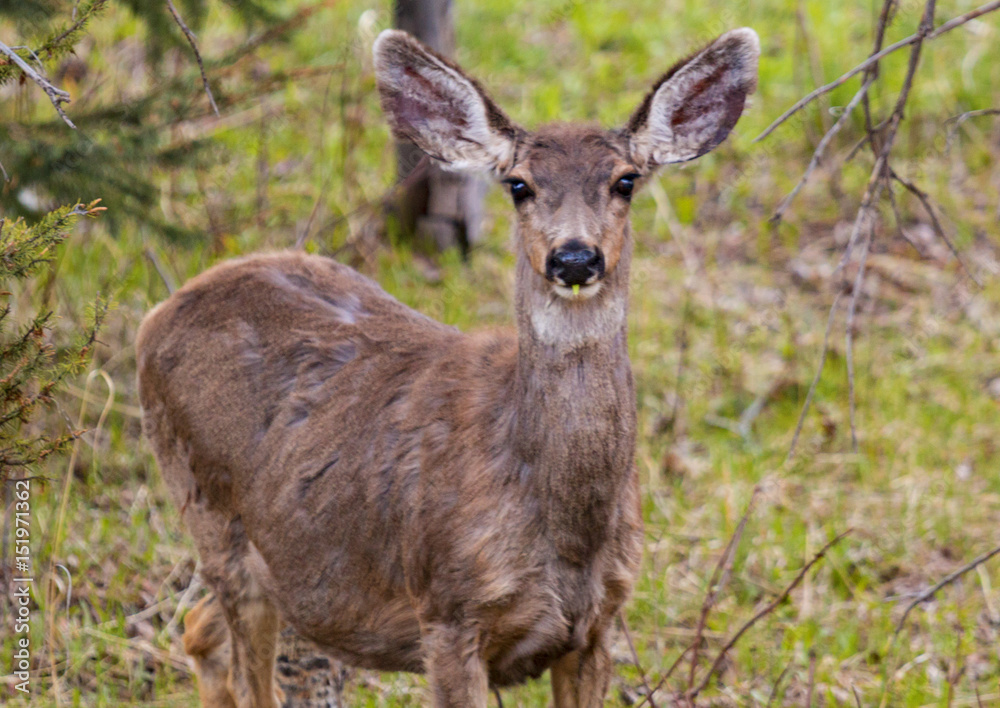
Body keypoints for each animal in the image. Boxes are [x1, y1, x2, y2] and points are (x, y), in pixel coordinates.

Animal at [137, 27, 759, 708]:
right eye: (518, 184)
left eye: (625, 181)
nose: (574, 258)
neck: (564, 528)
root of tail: (161, 311)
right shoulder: (448, 611)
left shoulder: (600, 621)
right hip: (211, 511)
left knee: (200, 631)